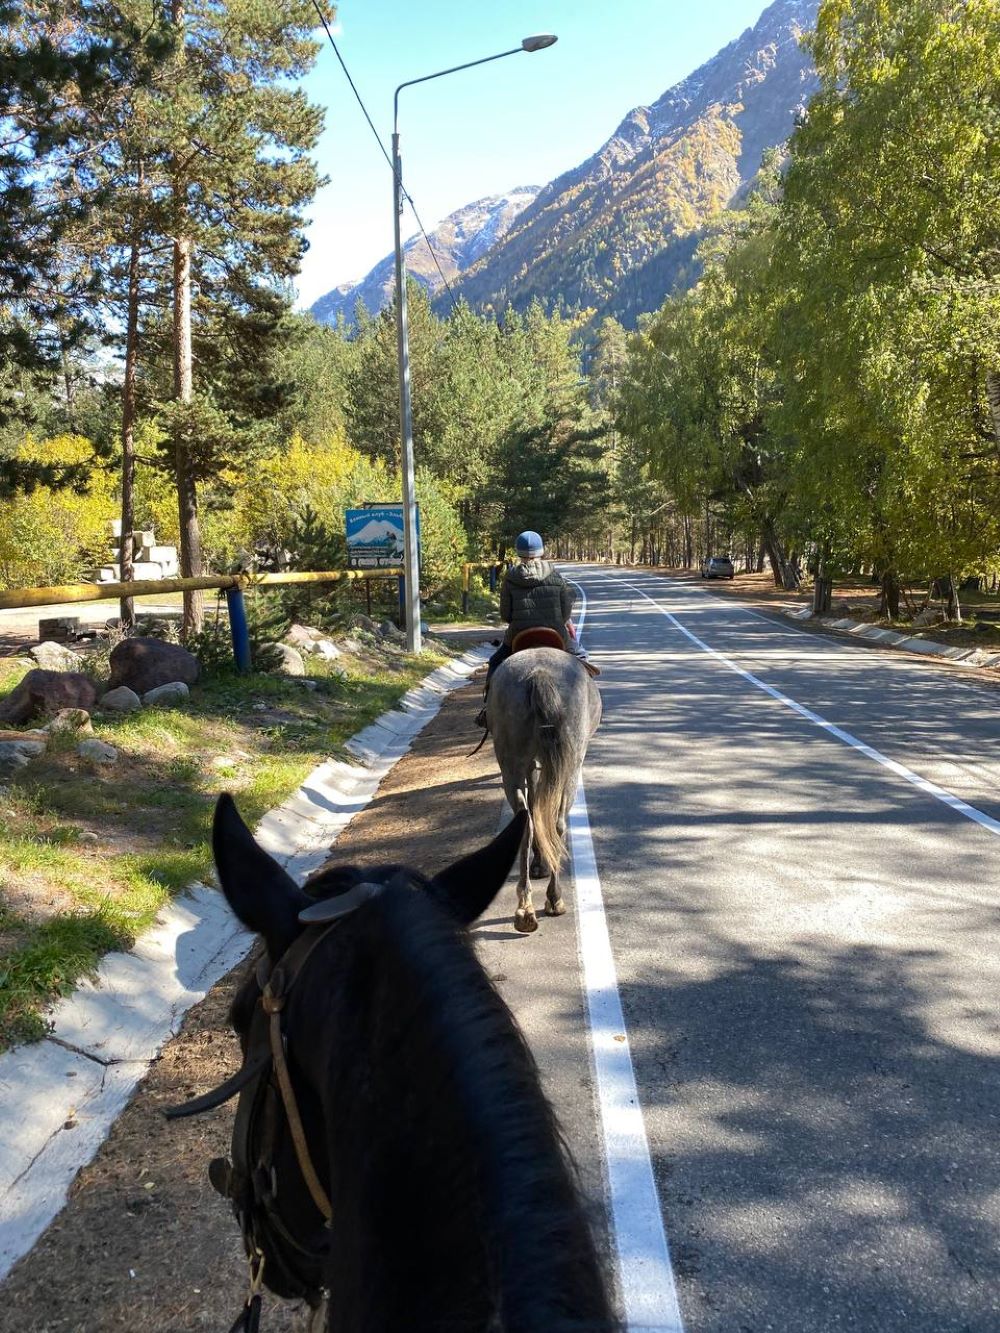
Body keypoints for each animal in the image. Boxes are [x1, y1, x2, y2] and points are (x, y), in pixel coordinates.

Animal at [485, 650, 602, 933]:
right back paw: (554, 899)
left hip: (512, 766)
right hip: (571, 767)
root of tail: (539, 674)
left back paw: (525, 909)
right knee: (558, 822)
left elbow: (536, 807)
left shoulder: (533, 765)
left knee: (526, 822)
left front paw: (539, 862)